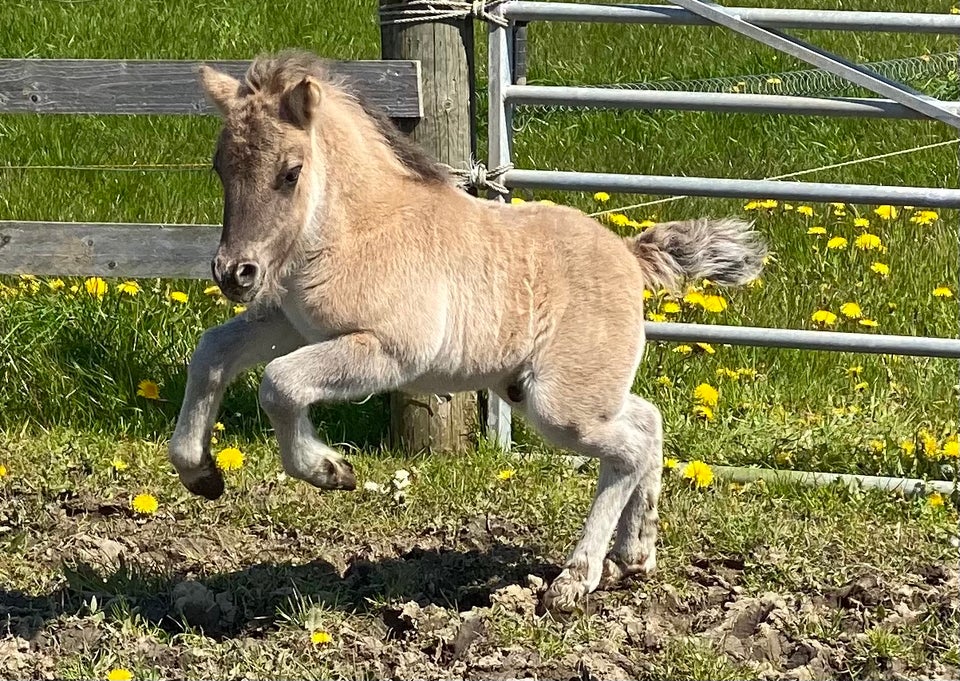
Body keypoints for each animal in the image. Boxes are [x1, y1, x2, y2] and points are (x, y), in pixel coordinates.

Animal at [167, 49, 764, 612]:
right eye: (220, 167)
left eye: (290, 172)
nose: (235, 273)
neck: (357, 229)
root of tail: (629, 253)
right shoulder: (292, 324)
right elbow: (212, 351)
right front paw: (200, 473)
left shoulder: (388, 351)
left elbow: (279, 384)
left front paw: (331, 470)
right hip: (558, 387)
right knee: (647, 420)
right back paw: (634, 554)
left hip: (559, 404)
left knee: (628, 448)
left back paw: (575, 581)